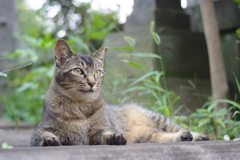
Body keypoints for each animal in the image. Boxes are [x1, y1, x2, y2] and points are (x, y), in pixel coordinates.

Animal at [31, 39, 209, 146]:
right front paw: (50, 140)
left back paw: (197, 135)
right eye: (78, 71)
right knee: (163, 136)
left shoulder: (102, 130)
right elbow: (42, 135)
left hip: (159, 119)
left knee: (177, 128)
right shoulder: (42, 129)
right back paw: (184, 137)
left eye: (97, 72)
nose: (92, 83)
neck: (80, 106)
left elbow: (109, 132)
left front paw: (115, 137)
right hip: (147, 136)